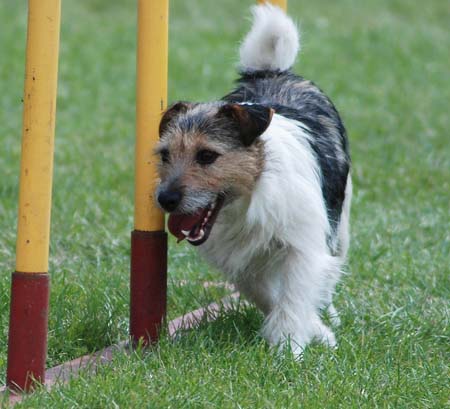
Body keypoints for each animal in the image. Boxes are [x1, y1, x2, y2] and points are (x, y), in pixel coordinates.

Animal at [155, 4, 351, 355]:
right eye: (165, 155)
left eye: (207, 156)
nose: (166, 200)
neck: (252, 193)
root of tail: (271, 71)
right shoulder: (241, 263)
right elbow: (267, 294)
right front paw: (313, 332)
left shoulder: (303, 247)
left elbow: (294, 297)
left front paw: (289, 349)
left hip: (341, 227)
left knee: (331, 272)